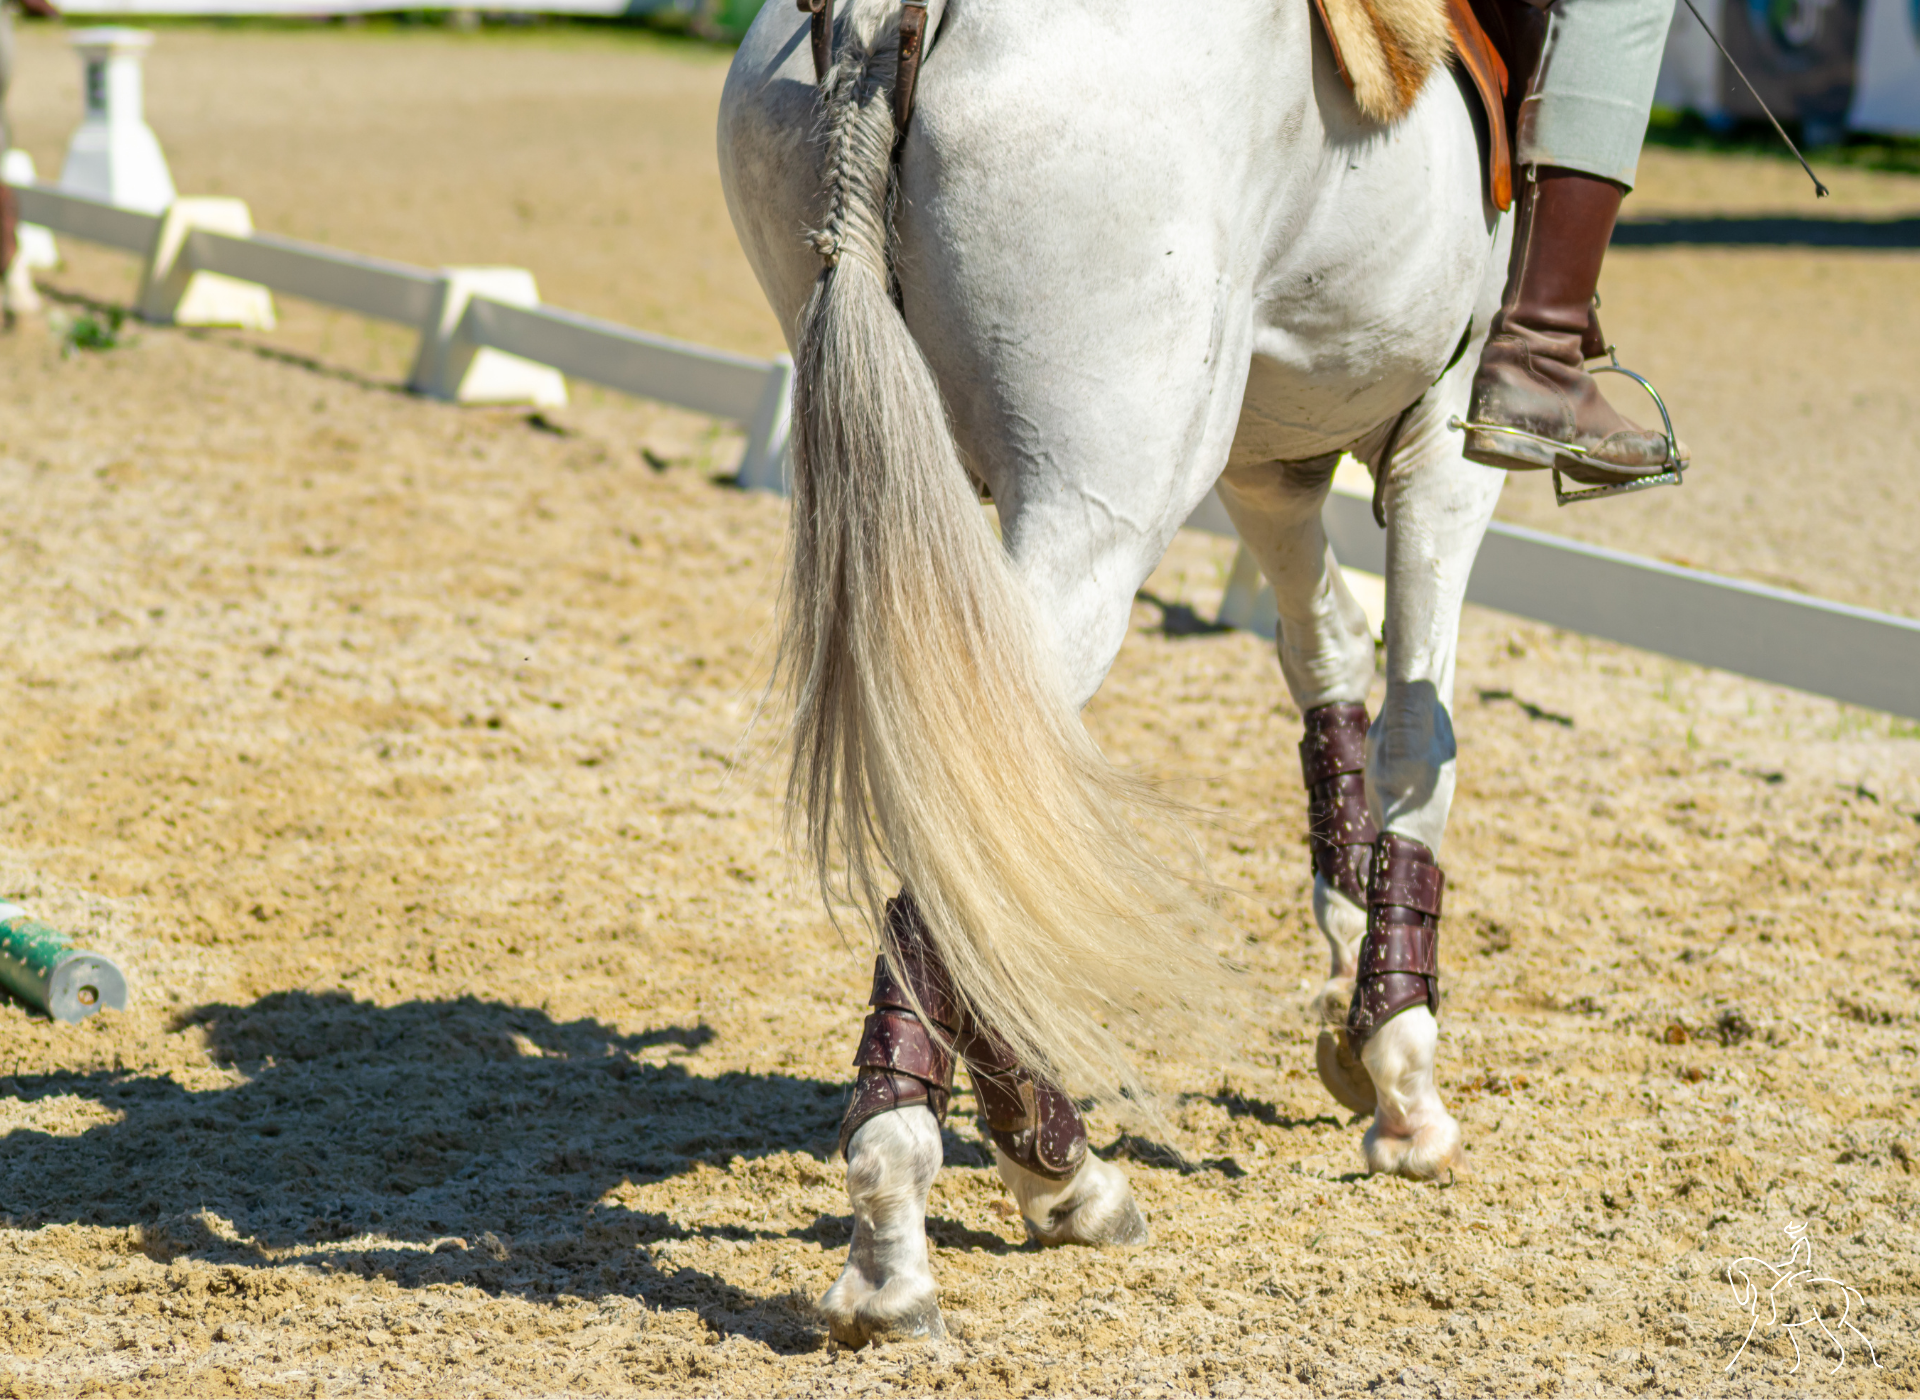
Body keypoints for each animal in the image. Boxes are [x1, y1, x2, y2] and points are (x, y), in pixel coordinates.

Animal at [719, 0, 1510, 1346]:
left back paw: (1053, 1165)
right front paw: (1400, 1067)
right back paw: (909, 1229)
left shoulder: (1273, 461)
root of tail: (887, 19)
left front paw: (1348, 964)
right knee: (975, 793)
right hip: (1108, 502)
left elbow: (1326, 654)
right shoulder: (1446, 440)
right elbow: (1421, 727)